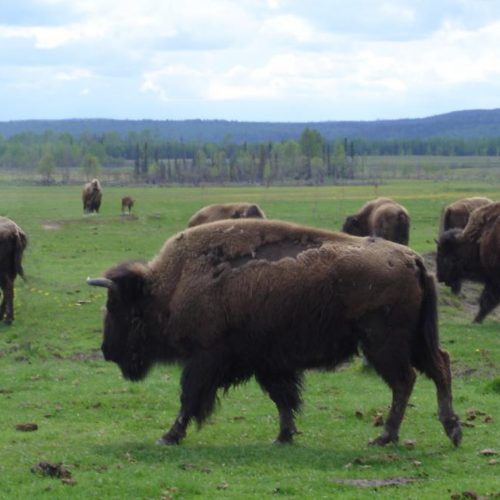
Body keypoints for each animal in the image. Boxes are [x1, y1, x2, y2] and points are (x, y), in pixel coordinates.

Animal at [89, 221, 460, 448]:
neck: (175, 282)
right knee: (440, 367)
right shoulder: (268, 362)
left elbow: (189, 398)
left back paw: (385, 437)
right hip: (416, 341)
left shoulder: (206, 356)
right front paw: (284, 436)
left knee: (405, 380)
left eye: (116, 305)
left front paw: (169, 436)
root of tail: (413, 260)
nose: (107, 350)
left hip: (384, 344)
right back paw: (451, 430)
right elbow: (283, 398)